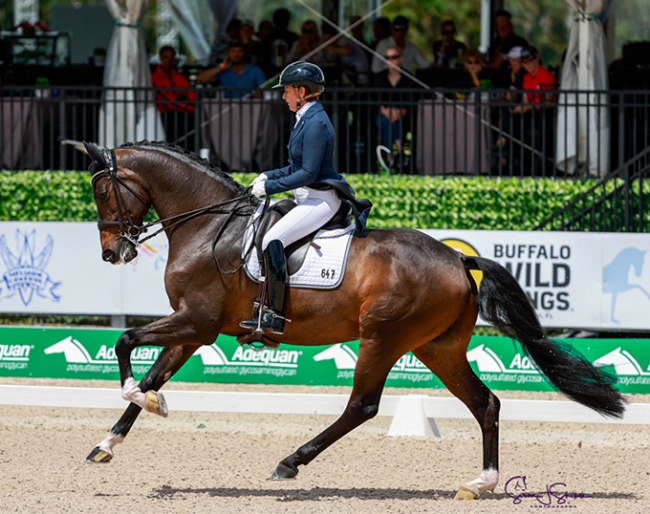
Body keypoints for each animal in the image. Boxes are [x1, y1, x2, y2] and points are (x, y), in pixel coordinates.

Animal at [82, 139, 624, 496]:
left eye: (104, 192)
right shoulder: (193, 326)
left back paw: (290, 463)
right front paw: (107, 443)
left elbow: (127, 344)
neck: (209, 226)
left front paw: (145, 402)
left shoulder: (197, 321)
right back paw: (481, 482)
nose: (111, 253)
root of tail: (456, 259)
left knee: (362, 406)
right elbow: (153, 372)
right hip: (438, 347)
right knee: (484, 402)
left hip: (382, 337)